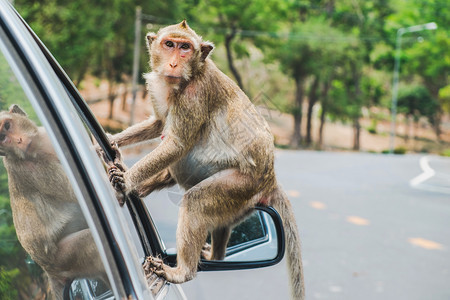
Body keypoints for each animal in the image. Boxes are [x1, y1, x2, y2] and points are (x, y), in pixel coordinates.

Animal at [0, 104, 107, 298]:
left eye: (7, 126)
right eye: (2, 138)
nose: (18, 141)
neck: (40, 147)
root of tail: (48, 270)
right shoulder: (33, 170)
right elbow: (74, 191)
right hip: (65, 259)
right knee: (91, 243)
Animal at [105, 21, 302, 300]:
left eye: (185, 48)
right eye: (169, 44)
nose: (174, 63)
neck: (188, 77)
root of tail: (271, 176)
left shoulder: (195, 95)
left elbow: (176, 145)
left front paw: (125, 180)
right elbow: (158, 124)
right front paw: (110, 141)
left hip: (241, 184)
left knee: (196, 201)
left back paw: (182, 272)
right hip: (241, 200)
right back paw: (214, 255)